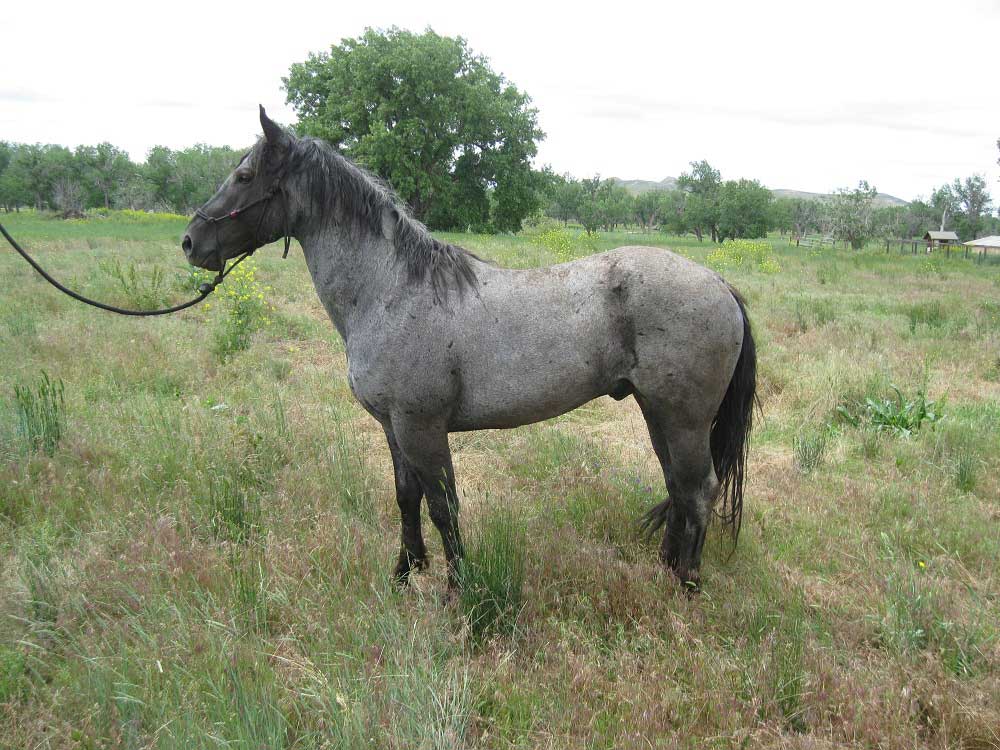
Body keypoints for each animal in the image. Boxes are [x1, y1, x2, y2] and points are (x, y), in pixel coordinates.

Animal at [184, 110, 752, 592]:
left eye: (244, 176)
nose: (191, 242)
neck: (391, 289)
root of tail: (720, 285)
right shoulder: (393, 427)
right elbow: (407, 498)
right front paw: (405, 573)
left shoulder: (422, 427)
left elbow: (443, 506)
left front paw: (457, 589)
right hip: (658, 414)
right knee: (679, 486)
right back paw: (665, 567)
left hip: (682, 419)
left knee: (699, 489)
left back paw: (686, 583)